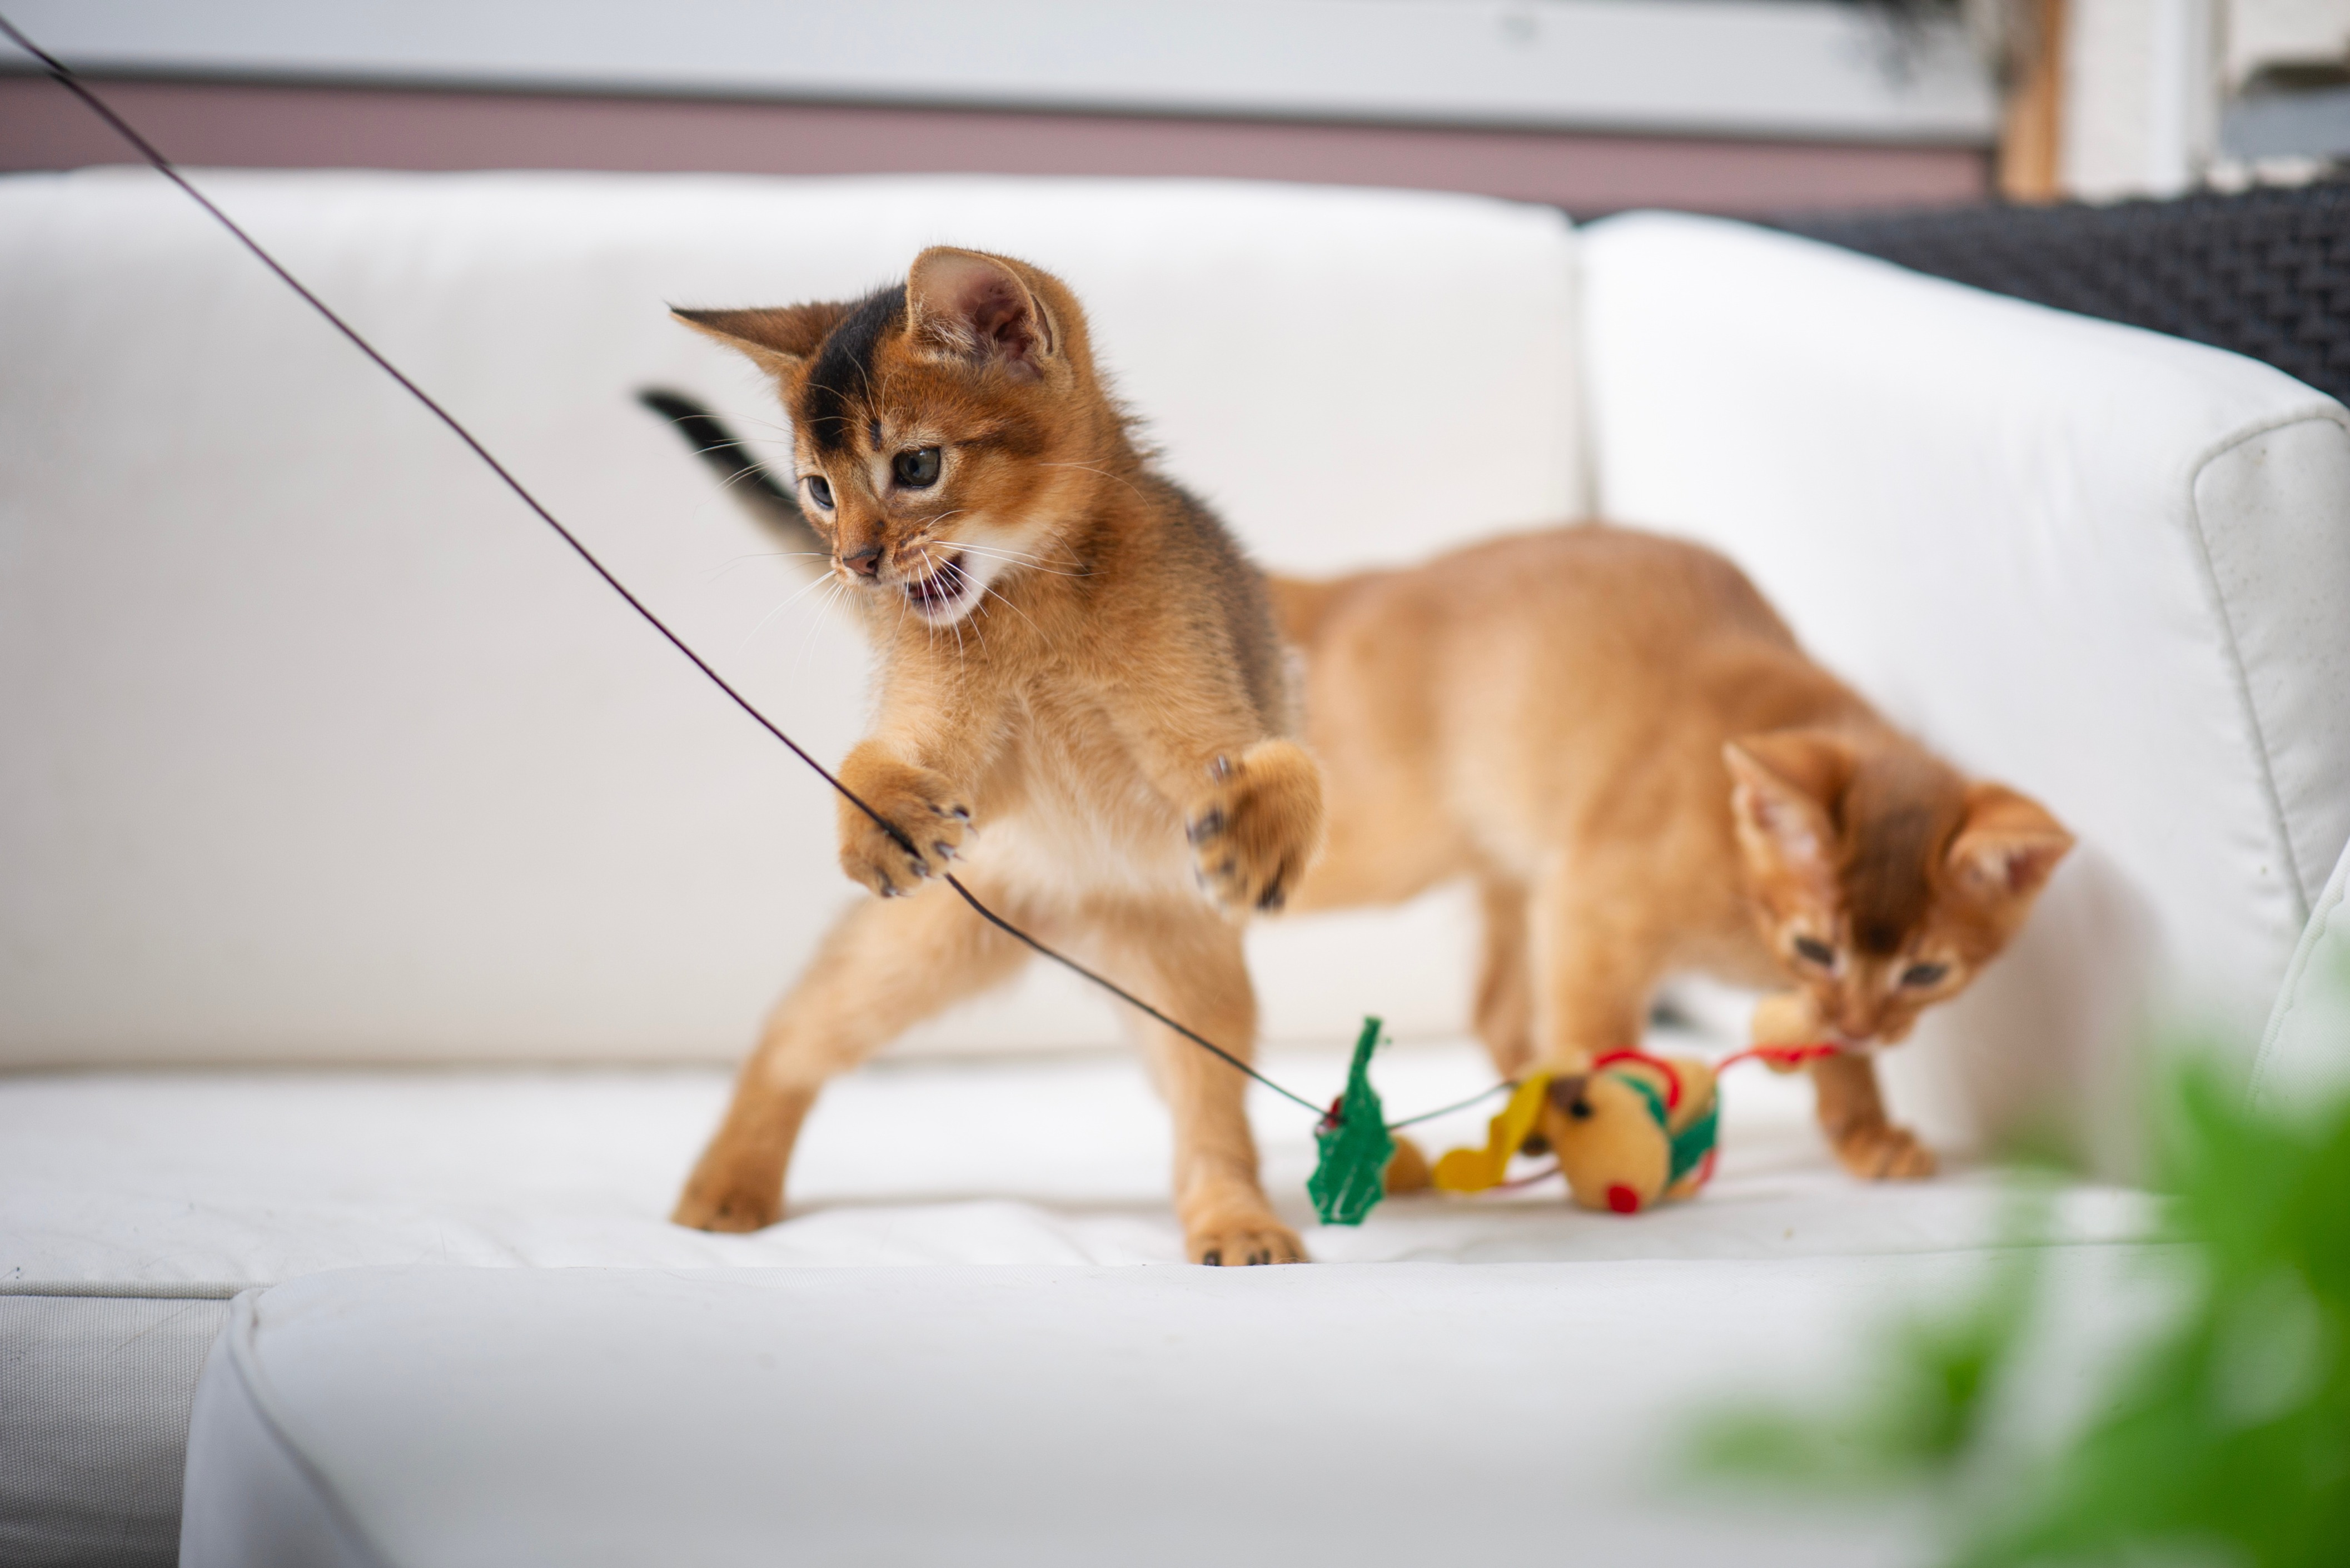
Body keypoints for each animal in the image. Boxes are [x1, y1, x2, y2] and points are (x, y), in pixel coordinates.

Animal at [667, 251, 1325, 1269]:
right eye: (817, 489)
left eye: (916, 466)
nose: (856, 564)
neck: (1034, 602)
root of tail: (1081, 918)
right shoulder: (944, 736)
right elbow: (879, 756)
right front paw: (880, 821)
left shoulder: (1211, 718)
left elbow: (1282, 762)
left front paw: (1259, 843)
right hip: (925, 939)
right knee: (795, 1029)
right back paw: (726, 1186)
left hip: (1190, 978)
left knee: (1205, 1114)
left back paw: (1234, 1221)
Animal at [1278, 526, 2068, 1175]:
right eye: (1816, 948)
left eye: (1926, 972)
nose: (1863, 1026)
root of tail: (1367, 583)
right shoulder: (1590, 909)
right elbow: (1597, 1031)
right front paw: (1603, 1135)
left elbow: (1831, 1054)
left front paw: (1865, 1129)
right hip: (1384, 848)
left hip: (1513, 862)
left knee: (1492, 1005)